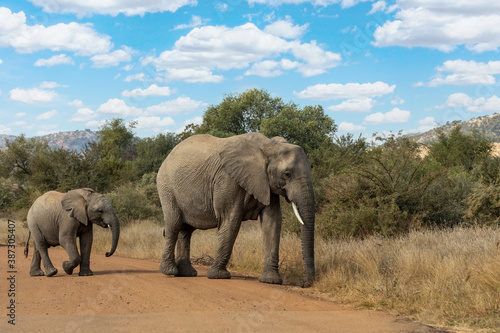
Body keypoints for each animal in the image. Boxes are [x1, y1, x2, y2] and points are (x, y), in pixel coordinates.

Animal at [156, 132, 314, 286]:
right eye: (287, 174)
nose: (306, 283)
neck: (269, 146)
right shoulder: (228, 179)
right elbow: (231, 219)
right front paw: (218, 277)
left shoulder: (267, 184)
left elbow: (272, 222)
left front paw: (271, 281)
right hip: (166, 187)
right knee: (174, 225)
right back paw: (169, 271)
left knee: (187, 231)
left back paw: (187, 273)